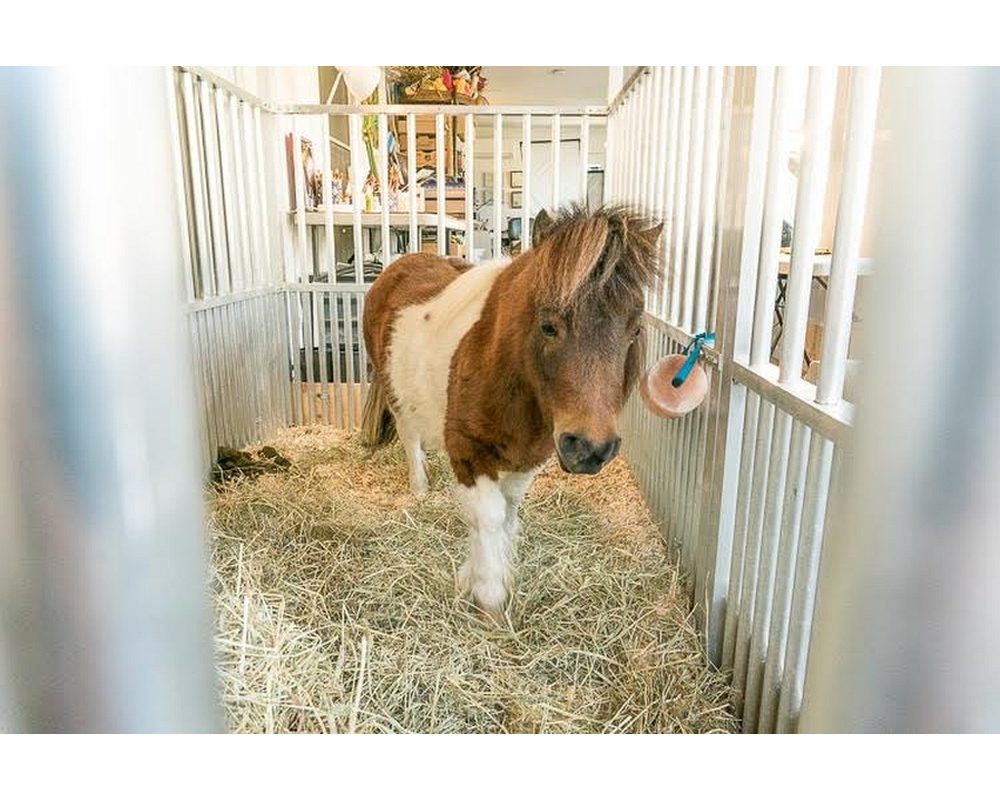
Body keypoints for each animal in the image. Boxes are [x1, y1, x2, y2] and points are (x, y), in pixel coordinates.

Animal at [364, 205, 660, 620]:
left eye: (634, 331)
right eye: (548, 326)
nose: (590, 449)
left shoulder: (530, 458)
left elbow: (506, 512)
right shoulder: (470, 454)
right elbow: (486, 516)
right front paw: (488, 597)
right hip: (396, 397)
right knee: (410, 440)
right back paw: (419, 489)